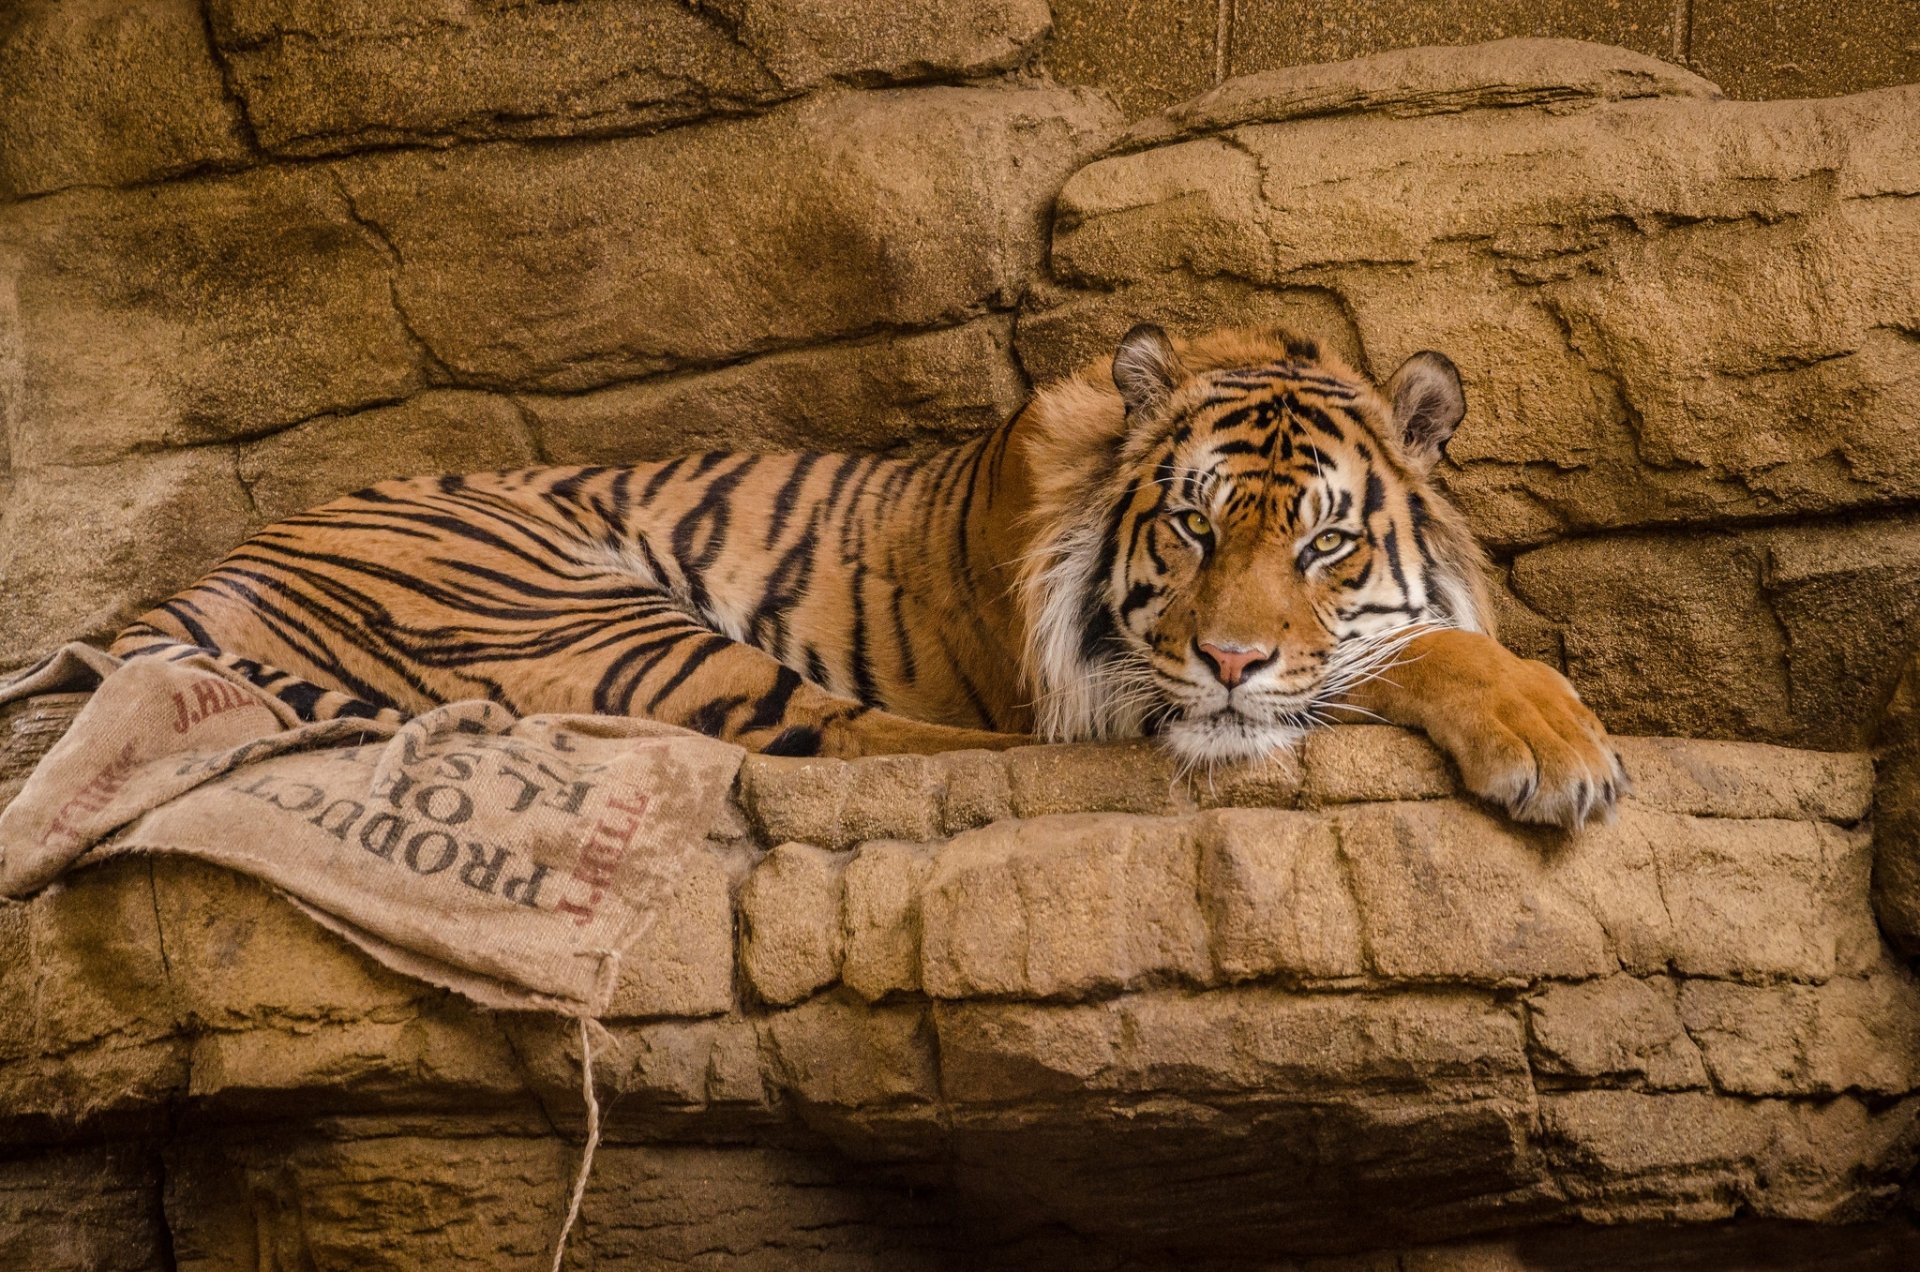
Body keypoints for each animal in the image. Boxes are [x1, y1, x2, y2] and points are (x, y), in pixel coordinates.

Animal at [111, 324, 1626, 828]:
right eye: (1192, 531)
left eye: (1324, 543)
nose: (1232, 659)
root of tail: (191, 579)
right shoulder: (1119, 681)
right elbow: (1408, 651)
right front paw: (1558, 744)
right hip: (578, 609)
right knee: (852, 743)